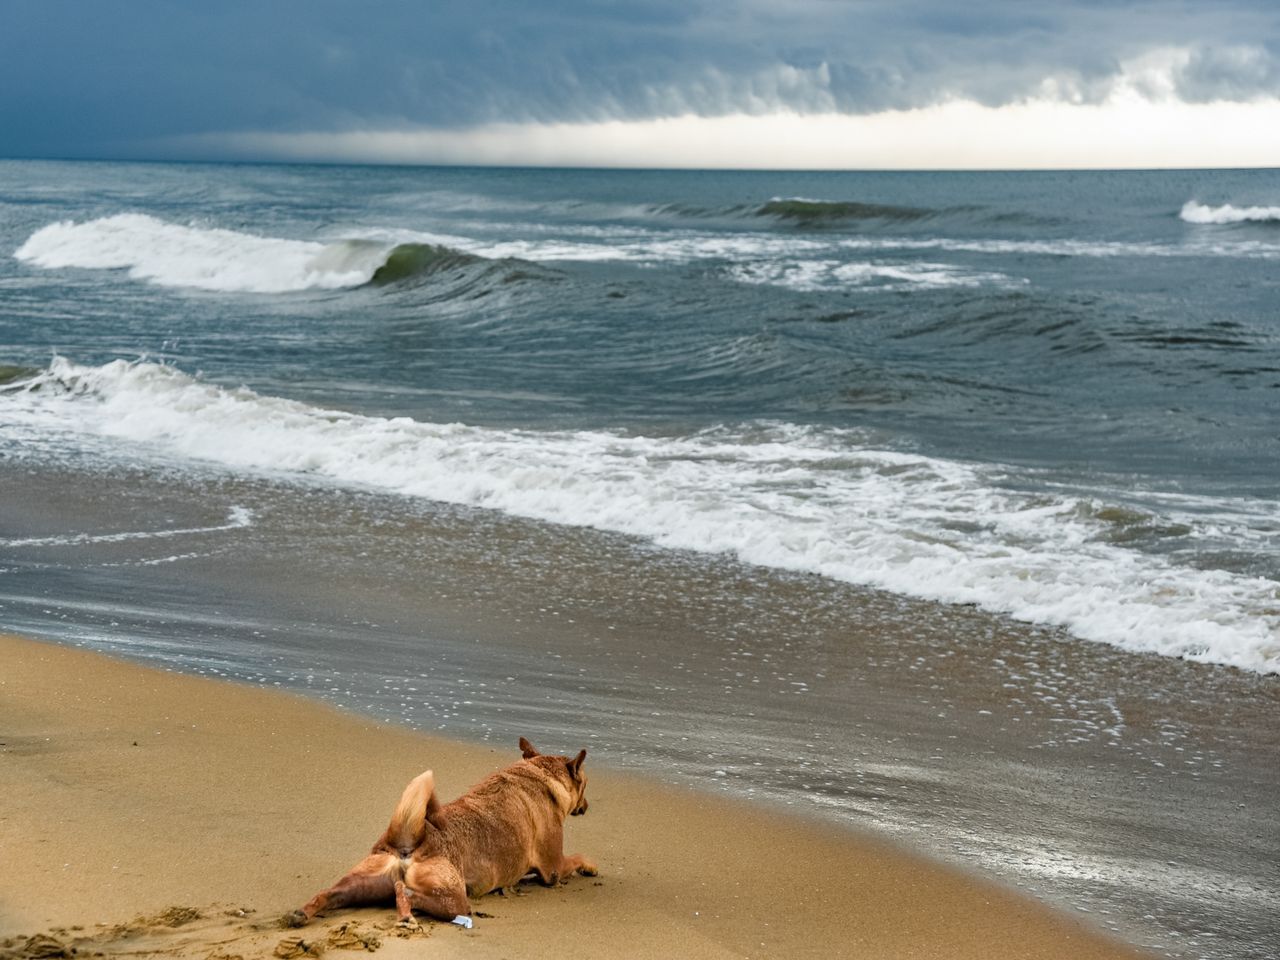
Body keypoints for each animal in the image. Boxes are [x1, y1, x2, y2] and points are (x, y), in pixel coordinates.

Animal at [285, 742, 593, 926]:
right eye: (586, 785)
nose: (586, 806)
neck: (536, 773)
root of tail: (411, 840)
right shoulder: (554, 867)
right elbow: (576, 858)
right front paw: (589, 866)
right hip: (454, 900)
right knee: (408, 893)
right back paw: (406, 913)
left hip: (362, 883)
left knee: (330, 894)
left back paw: (302, 913)